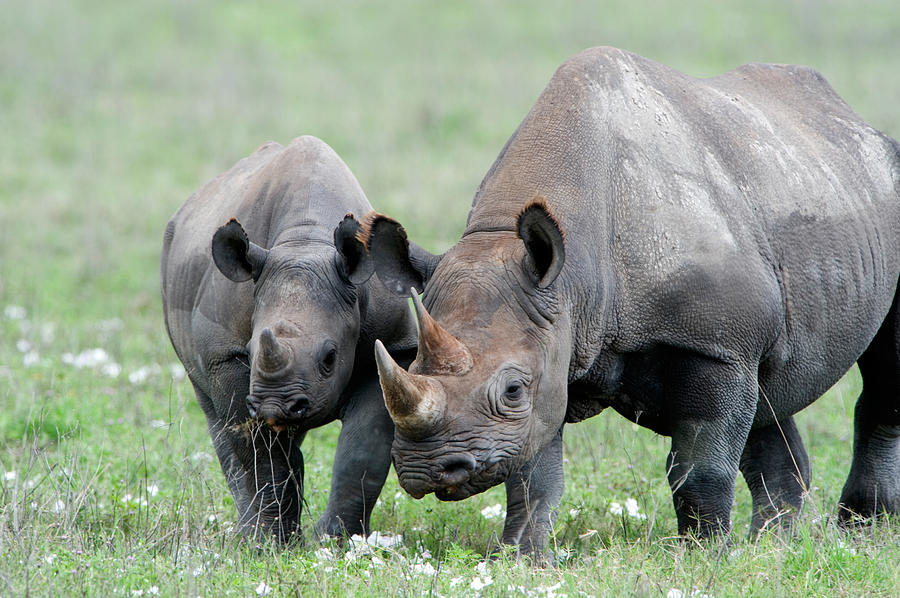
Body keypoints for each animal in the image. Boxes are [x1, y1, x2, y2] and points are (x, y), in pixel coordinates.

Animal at [162, 136, 414, 544]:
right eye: (250, 350)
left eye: (330, 357)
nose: (275, 406)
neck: (305, 241)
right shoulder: (227, 357)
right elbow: (259, 452)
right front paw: (269, 544)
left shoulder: (394, 347)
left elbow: (364, 446)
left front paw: (338, 541)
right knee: (218, 423)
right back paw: (248, 532)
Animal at [362, 47, 900, 556]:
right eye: (409, 362)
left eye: (512, 390)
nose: (427, 472)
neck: (573, 272)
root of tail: (853, 120)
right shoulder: (554, 339)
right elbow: (534, 475)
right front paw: (521, 559)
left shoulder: (716, 347)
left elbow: (700, 466)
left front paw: (703, 556)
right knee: (767, 395)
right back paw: (774, 544)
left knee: (878, 373)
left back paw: (861, 529)